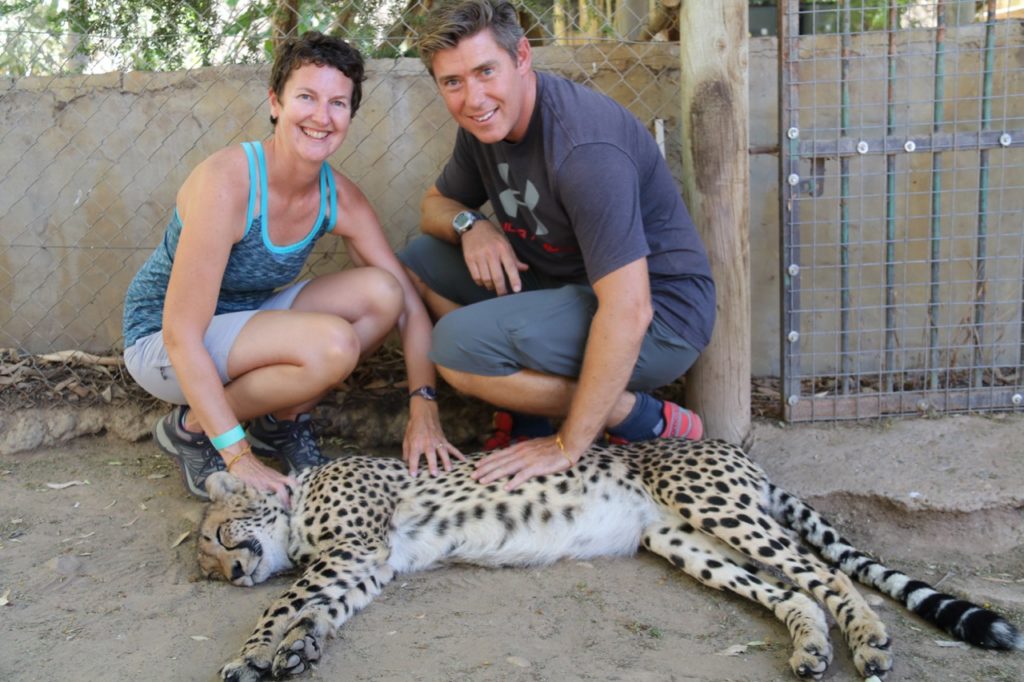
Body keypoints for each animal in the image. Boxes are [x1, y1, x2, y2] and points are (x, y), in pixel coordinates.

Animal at [199, 438, 1024, 675]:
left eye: (214, 538)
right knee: (792, 591)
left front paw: (247, 654)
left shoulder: (354, 546)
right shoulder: (366, 564)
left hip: (715, 507)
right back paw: (812, 648)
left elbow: (287, 600)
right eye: (207, 561)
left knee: (823, 574)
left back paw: (872, 643)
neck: (298, 503)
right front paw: (298, 649)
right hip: (684, 540)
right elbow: (321, 608)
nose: (225, 575)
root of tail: (727, 445)